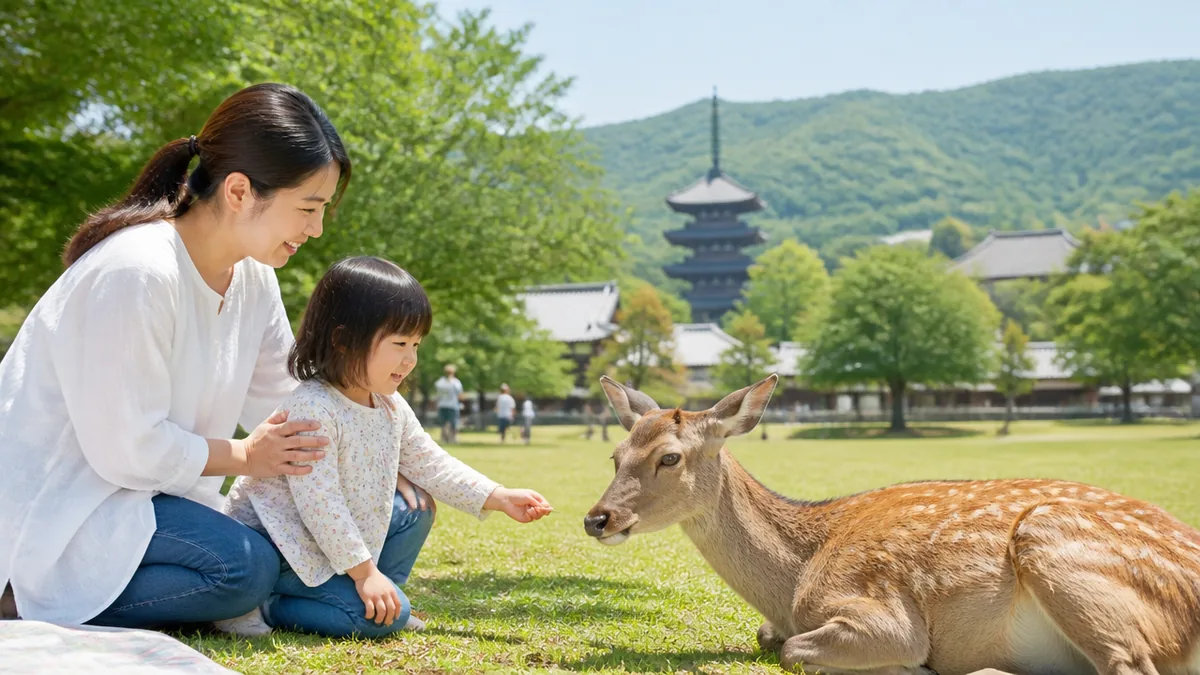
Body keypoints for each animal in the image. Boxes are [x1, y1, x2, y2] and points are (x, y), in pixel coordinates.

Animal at [584, 373, 1200, 675]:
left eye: (669, 457)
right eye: (614, 455)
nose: (597, 518)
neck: (794, 580)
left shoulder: (883, 612)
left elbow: (794, 650)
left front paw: (910, 670)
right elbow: (771, 639)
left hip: (1053, 545)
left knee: (1128, 665)